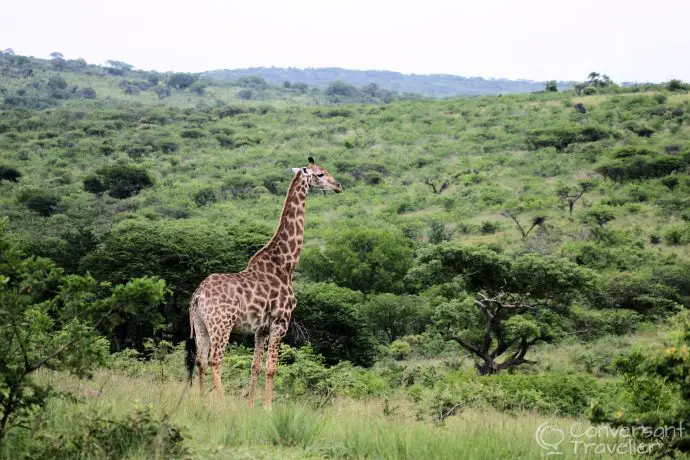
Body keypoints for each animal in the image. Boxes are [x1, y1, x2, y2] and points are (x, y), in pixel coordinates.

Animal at [185, 157, 342, 406]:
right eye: (319, 174)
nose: (338, 185)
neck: (285, 264)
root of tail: (197, 296)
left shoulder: (261, 329)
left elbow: (255, 366)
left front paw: (251, 406)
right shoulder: (281, 321)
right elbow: (271, 368)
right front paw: (267, 407)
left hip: (201, 325)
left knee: (201, 359)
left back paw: (201, 402)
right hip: (222, 325)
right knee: (215, 360)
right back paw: (223, 404)